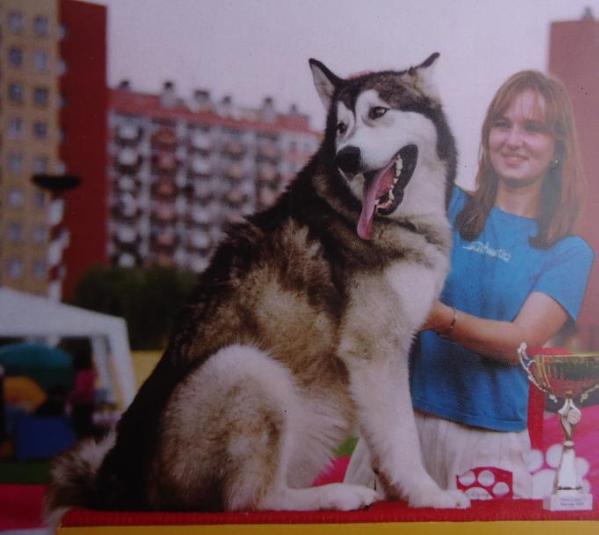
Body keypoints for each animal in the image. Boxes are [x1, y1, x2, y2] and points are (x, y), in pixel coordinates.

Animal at [48, 52, 468, 516]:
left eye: (378, 113)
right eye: (341, 128)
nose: (347, 157)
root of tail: (117, 482)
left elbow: (385, 441)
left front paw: (398, 491)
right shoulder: (374, 349)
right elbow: (403, 436)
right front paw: (427, 495)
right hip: (246, 367)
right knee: (253, 499)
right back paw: (334, 494)